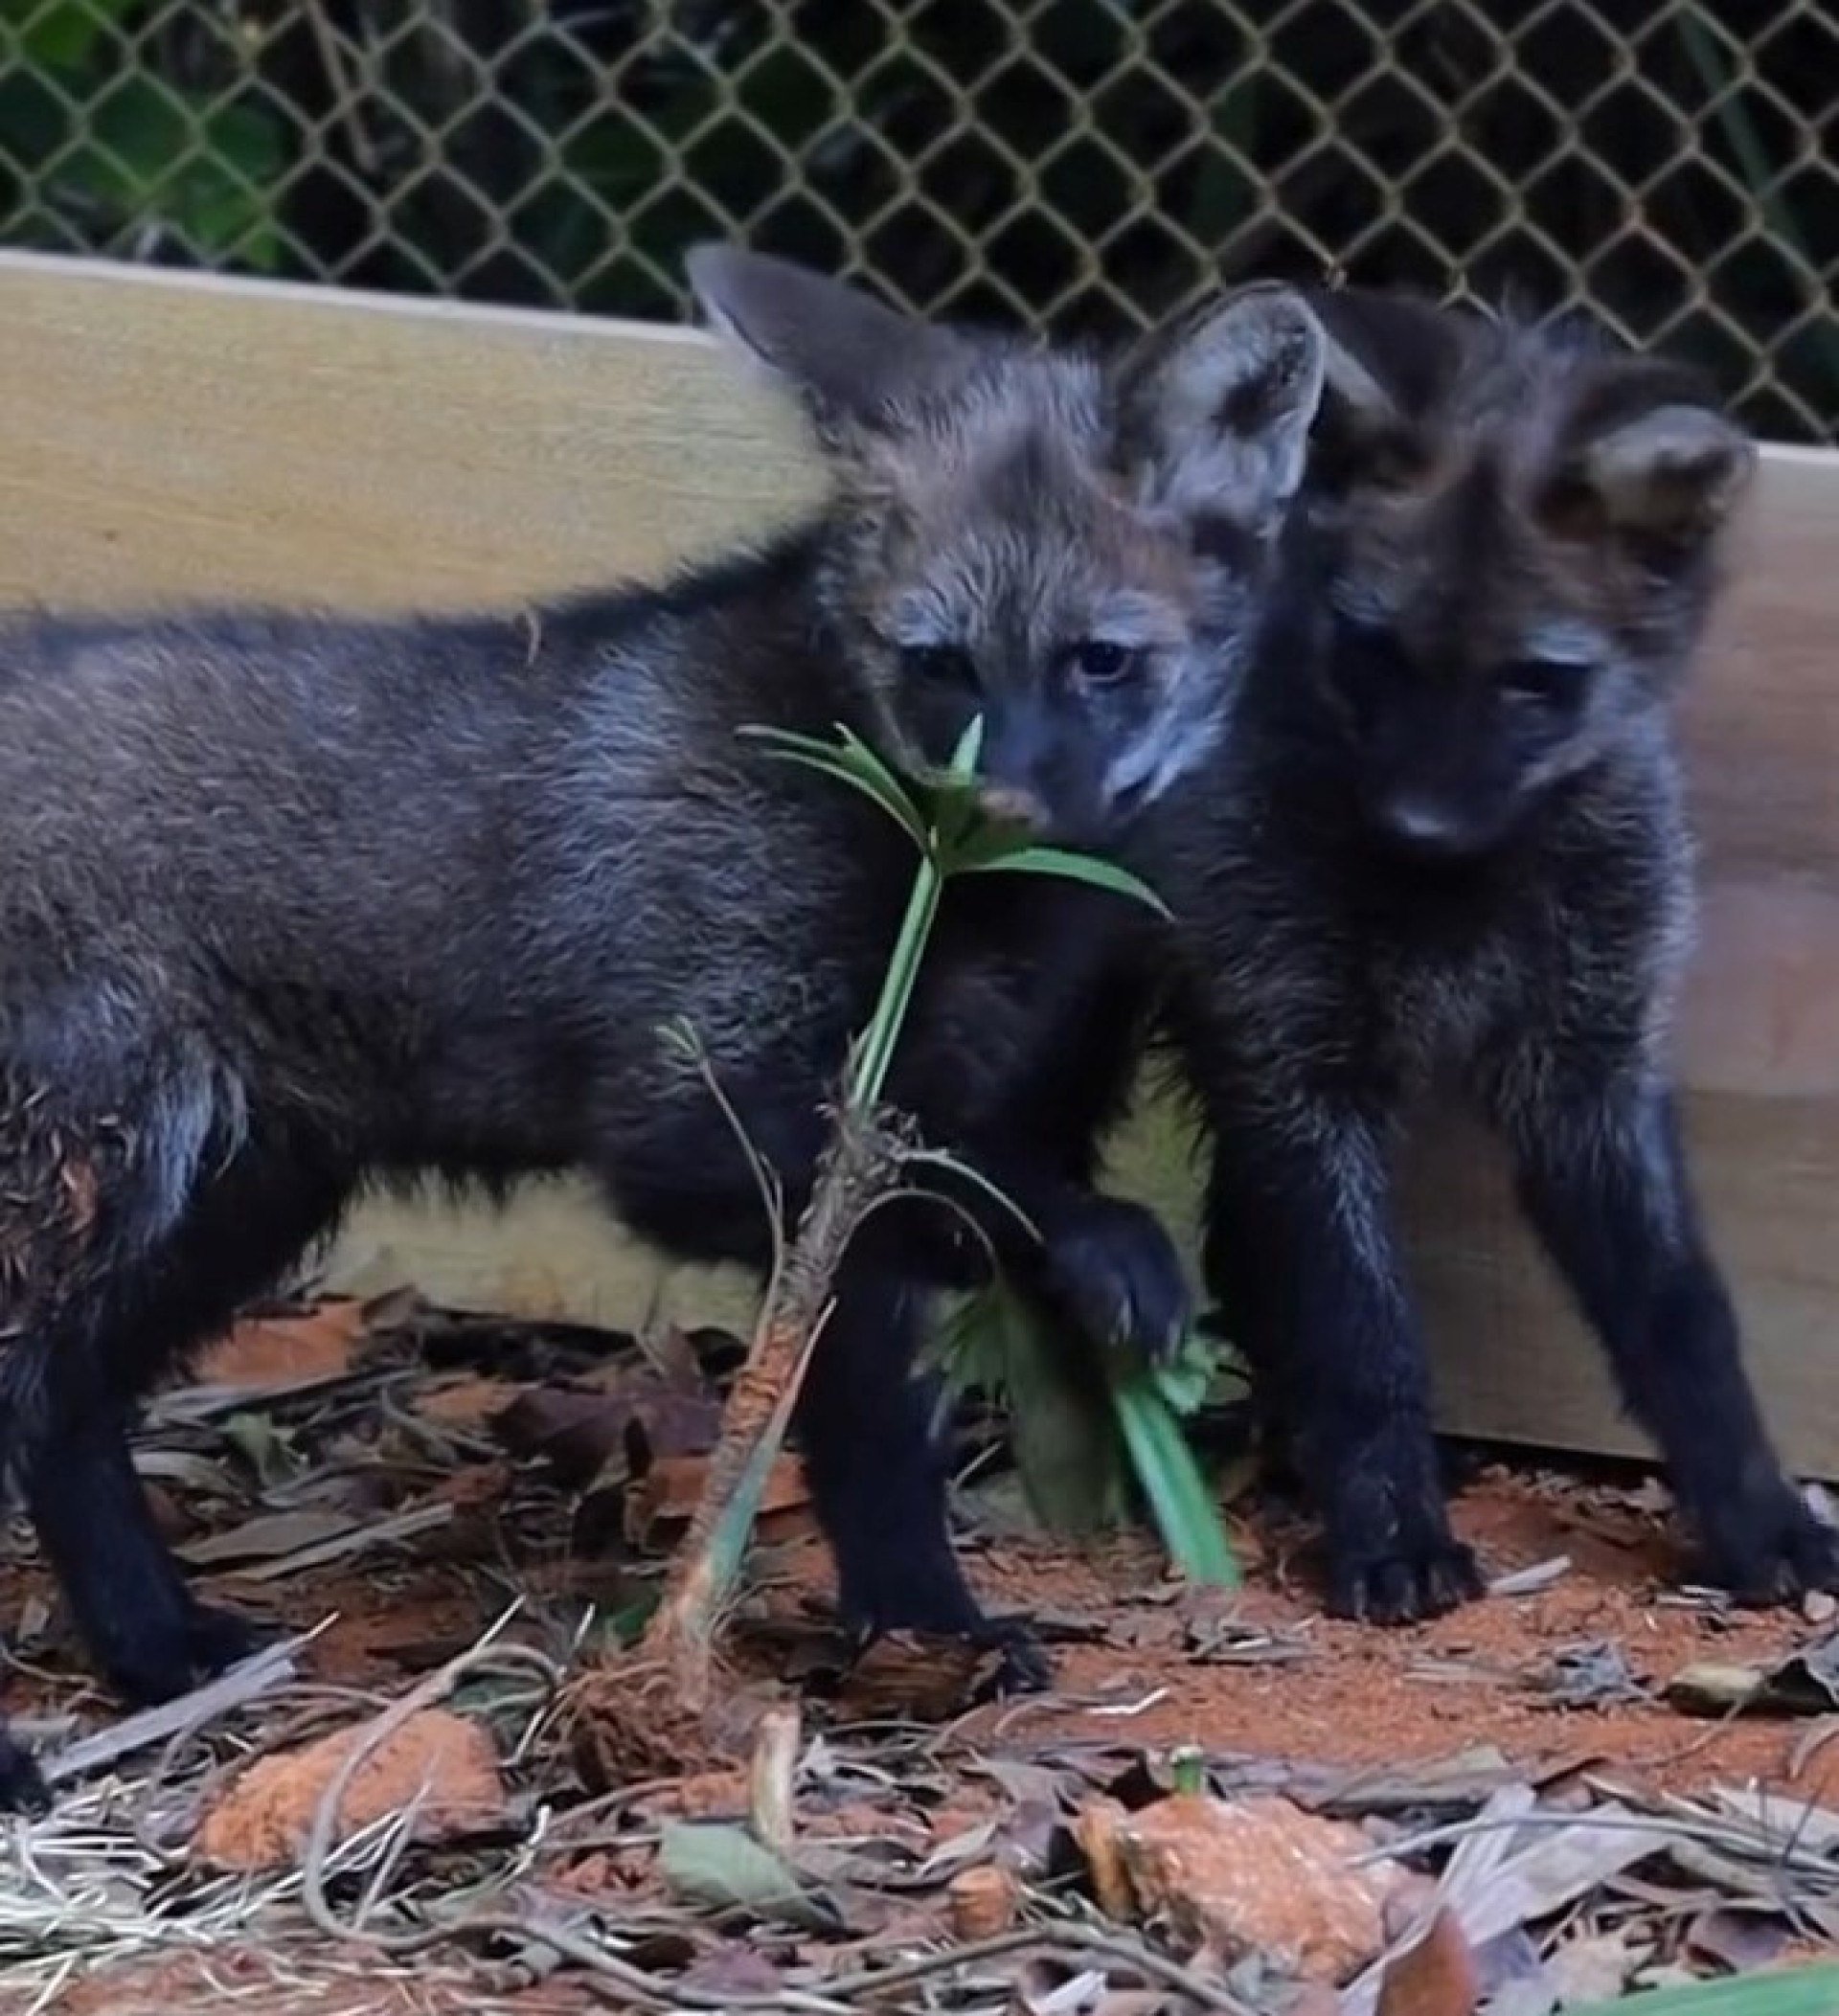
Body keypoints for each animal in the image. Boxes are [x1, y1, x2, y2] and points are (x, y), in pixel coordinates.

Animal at [0, 246, 1328, 1804]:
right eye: (941, 662)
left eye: (1100, 661)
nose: (1001, 808)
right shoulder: (704, 1128)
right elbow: (955, 1248)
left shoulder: (875, 1148)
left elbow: (886, 1403)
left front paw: (917, 1627)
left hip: (235, 1198)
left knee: (57, 1411)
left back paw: (154, 1647)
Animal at [1135, 284, 1838, 1622]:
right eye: (1378, 652)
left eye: (1534, 682)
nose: (1414, 826)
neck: (1459, 907)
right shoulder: (1293, 1063)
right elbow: (1364, 1336)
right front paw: (1392, 1523)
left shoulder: (1591, 1066)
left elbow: (1684, 1318)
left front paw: (1756, 1508)